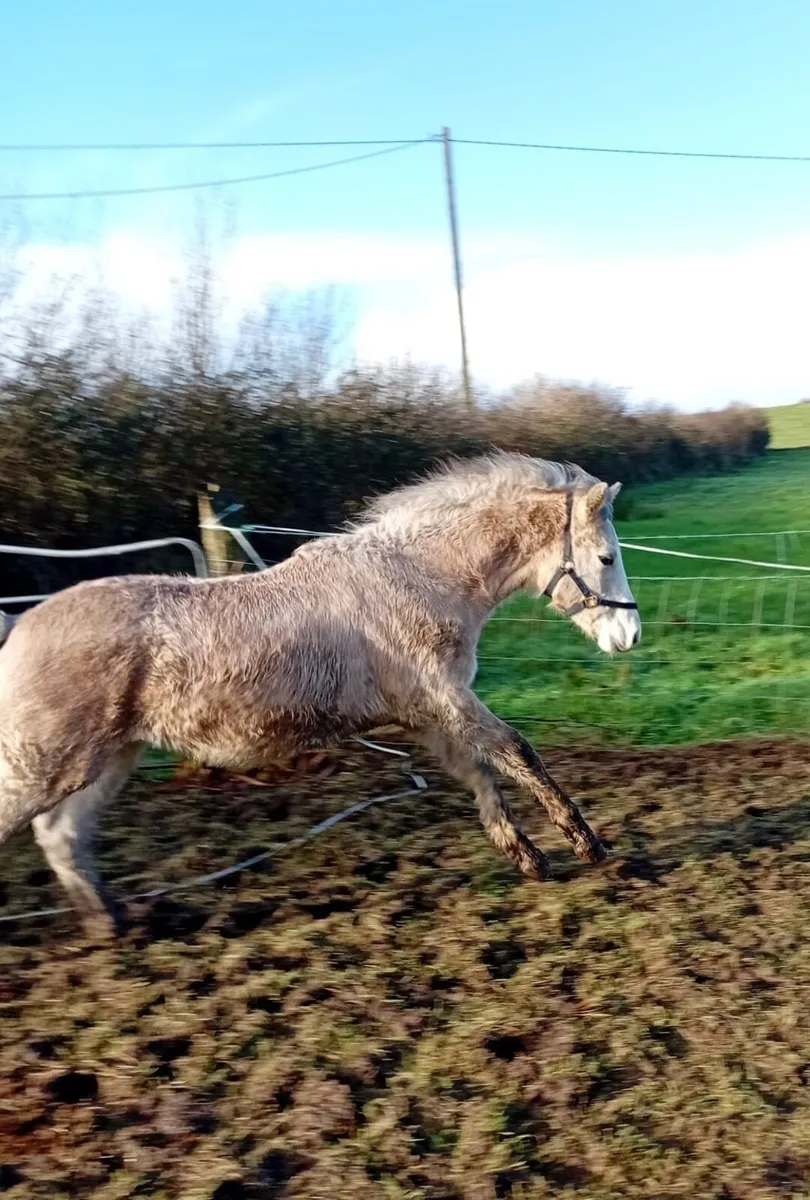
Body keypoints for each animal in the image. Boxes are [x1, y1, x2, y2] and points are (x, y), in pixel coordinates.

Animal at [0, 453, 640, 937]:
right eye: (606, 556)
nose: (629, 636)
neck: (419, 578)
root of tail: (19, 629)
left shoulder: (429, 713)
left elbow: (478, 773)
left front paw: (527, 856)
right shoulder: (447, 699)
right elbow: (515, 753)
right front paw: (587, 845)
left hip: (108, 759)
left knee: (62, 836)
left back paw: (115, 924)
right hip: (47, 763)